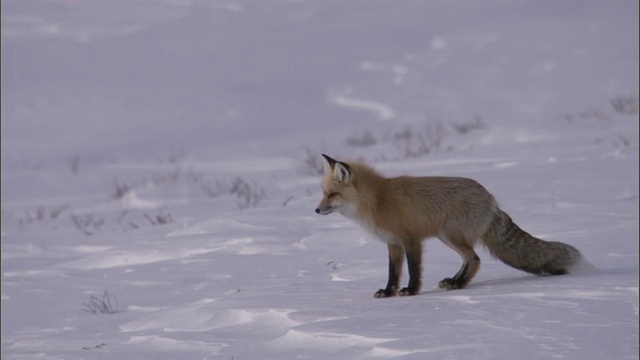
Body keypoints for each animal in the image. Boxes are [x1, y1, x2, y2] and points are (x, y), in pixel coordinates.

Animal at [312, 153, 584, 296]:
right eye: (323, 193)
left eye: (332, 194)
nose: (316, 210)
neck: (377, 200)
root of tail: (490, 198)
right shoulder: (393, 243)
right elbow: (393, 272)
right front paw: (388, 292)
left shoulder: (411, 239)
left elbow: (413, 269)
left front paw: (411, 290)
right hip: (448, 236)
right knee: (469, 259)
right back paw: (455, 282)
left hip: (448, 234)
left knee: (474, 258)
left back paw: (458, 284)